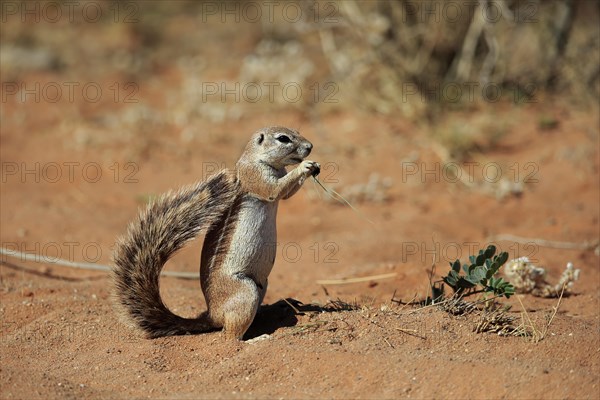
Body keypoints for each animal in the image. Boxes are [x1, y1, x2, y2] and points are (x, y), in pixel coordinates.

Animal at [112, 126, 318, 340]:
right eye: (283, 138)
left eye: (296, 132)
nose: (310, 146)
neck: (257, 157)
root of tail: (213, 315)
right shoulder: (254, 176)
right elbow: (275, 189)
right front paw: (305, 167)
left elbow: (286, 194)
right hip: (246, 292)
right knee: (230, 336)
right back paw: (256, 339)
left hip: (262, 284)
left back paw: (274, 308)